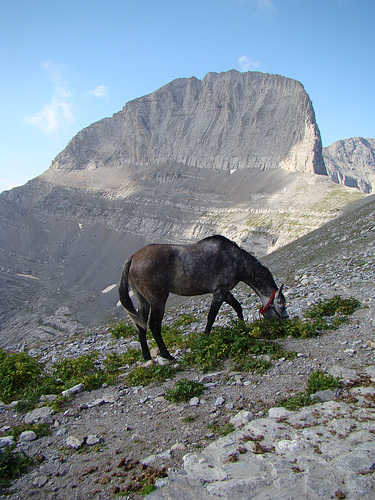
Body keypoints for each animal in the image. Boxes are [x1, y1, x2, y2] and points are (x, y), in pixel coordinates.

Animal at [119, 234, 290, 360]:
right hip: (158, 300)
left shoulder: (224, 292)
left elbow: (237, 307)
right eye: (281, 306)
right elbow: (211, 316)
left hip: (143, 301)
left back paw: (147, 357)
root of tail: (132, 258)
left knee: (141, 326)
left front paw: (242, 328)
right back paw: (167, 356)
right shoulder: (220, 292)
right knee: (154, 326)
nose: (286, 322)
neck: (236, 259)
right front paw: (206, 338)